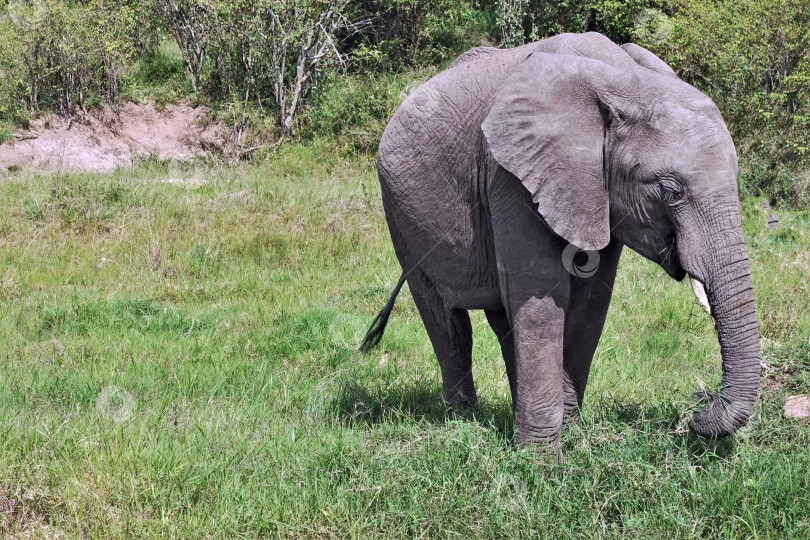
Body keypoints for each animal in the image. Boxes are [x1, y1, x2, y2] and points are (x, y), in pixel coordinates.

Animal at [358, 31, 756, 450]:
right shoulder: (510, 173)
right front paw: (540, 458)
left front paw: (571, 431)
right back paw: (464, 420)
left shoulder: (596, 189)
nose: (697, 407)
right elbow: (543, 290)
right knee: (446, 321)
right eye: (669, 192)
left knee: (503, 317)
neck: (626, 82)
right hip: (399, 211)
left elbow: (589, 300)